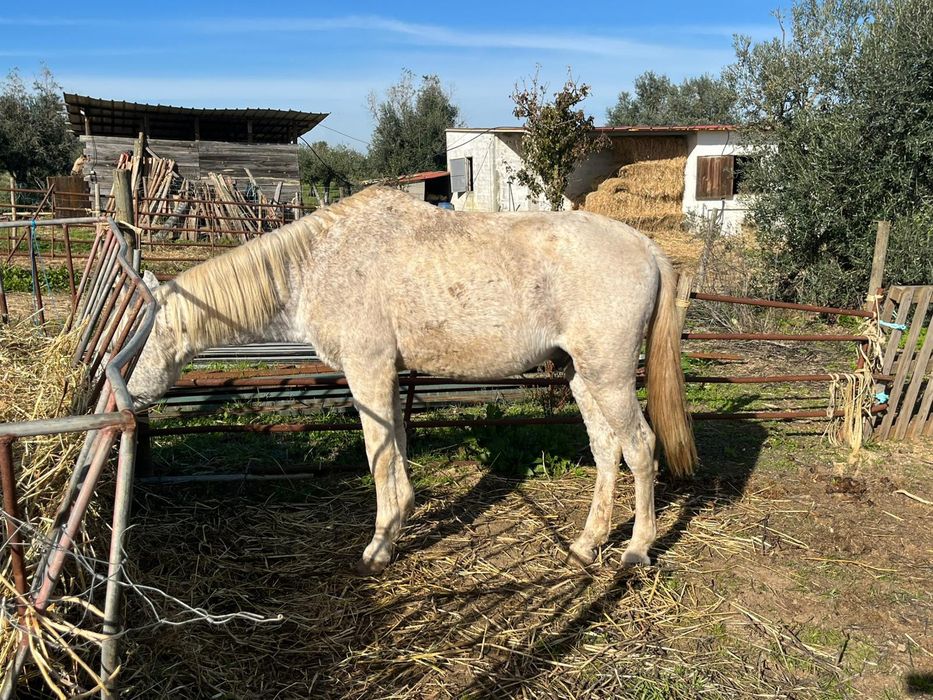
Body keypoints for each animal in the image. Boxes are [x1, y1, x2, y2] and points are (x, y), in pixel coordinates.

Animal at [128, 186, 697, 575]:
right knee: (607, 450)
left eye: (137, 333)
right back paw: (586, 543)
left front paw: (379, 547)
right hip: (584, 376)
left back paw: (637, 549)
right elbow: (396, 448)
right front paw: (401, 520)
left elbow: (378, 456)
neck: (317, 264)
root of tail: (647, 246)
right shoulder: (390, 376)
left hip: (610, 376)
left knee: (640, 448)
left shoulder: (368, 370)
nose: (127, 393)